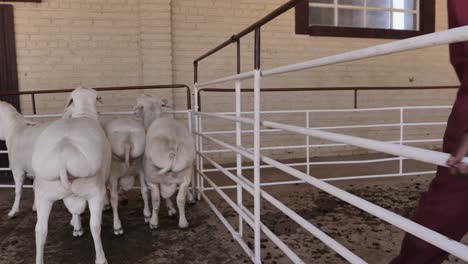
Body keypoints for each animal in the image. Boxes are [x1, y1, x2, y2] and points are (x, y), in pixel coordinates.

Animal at [31, 87, 110, 264]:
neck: (83, 112)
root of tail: (63, 149)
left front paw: (76, 226)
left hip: (43, 194)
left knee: (40, 230)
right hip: (94, 191)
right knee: (95, 226)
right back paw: (101, 258)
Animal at [134, 95, 195, 229]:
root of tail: (172, 151)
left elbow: (158, 197)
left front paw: (167, 210)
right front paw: (172, 209)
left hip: (153, 177)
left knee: (156, 199)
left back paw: (153, 222)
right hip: (185, 174)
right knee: (180, 199)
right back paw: (183, 222)